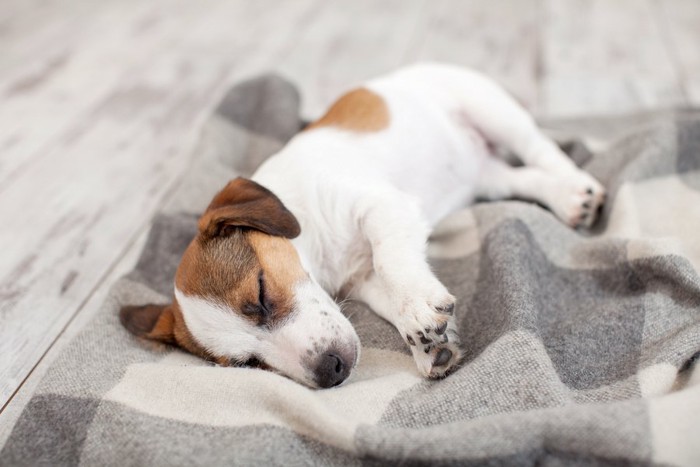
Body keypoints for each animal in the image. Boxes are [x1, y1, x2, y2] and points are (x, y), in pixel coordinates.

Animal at [119, 64, 600, 390]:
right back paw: (562, 195)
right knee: (524, 178)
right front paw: (430, 343)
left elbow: (392, 260)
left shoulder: (381, 206)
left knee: (541, 149)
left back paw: (577, 192)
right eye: (248, 365)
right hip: (487, 177)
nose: (330, 371)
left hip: (491, 110)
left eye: (260, 295)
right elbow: (388, 296)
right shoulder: (363, 280)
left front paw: (417, 308)